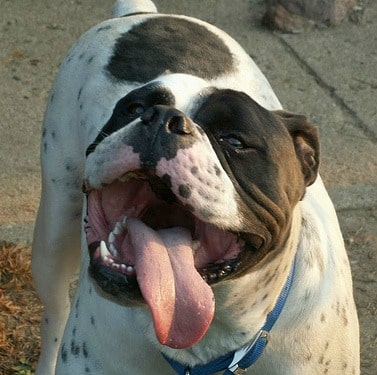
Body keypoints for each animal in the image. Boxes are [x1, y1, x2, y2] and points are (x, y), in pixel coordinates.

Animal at [32, 0, 358, 374]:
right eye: (135, 108)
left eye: (234, 140)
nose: (162, 118)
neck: (206, 343)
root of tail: (142, 13)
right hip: (53, 238)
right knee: (55, 313)